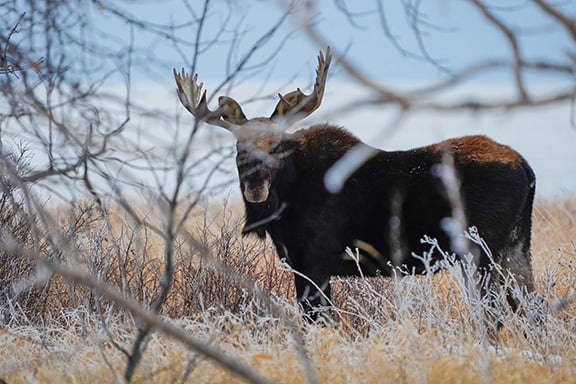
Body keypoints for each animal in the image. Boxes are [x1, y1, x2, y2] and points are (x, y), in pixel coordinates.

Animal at [174, 47, 540, 330]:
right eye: (238, 149)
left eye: (276, 147)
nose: (255, 188)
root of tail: (526, 167)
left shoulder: (314, 259)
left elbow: (316, 320)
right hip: (516, 247)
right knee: (532, 310)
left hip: (481, 251)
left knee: (494, 315)